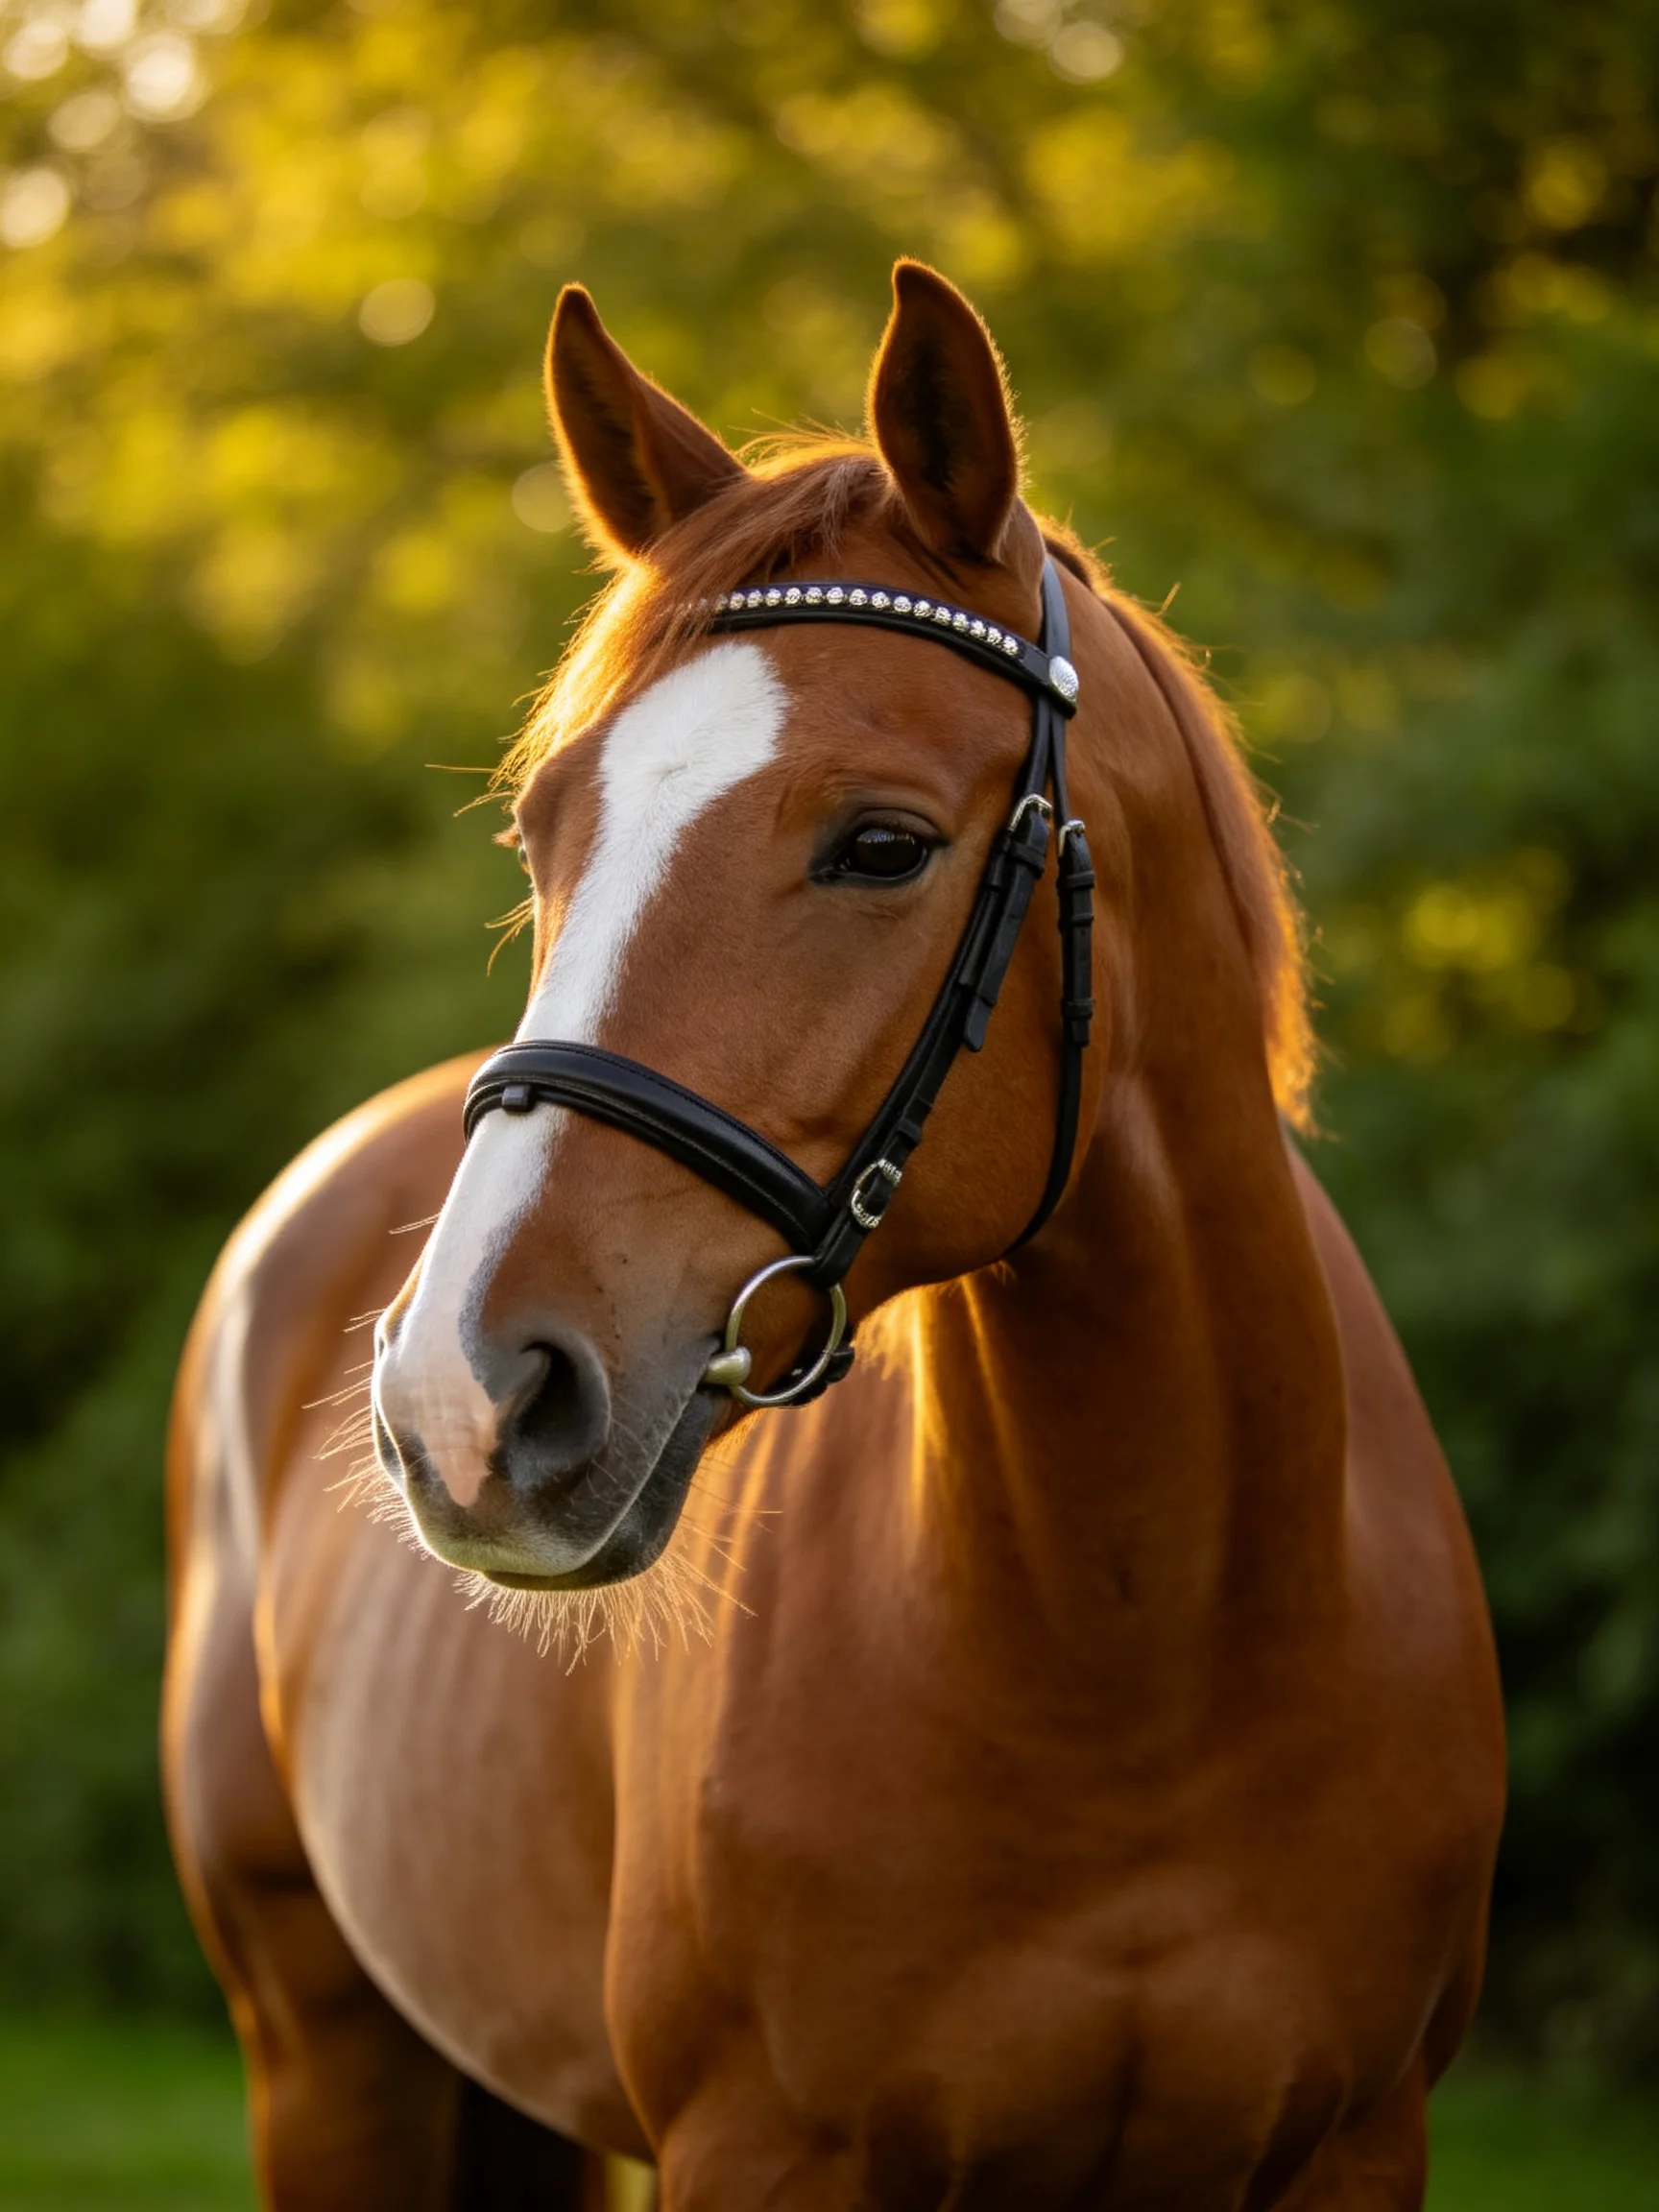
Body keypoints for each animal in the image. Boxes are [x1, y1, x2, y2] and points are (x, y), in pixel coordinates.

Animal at [163, 260, 1505, 2211]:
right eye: (541, 827)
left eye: (881, 844)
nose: (460, 1405)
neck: (1147, 1661)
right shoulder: (762, 2151)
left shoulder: (1354, 2143)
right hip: (324, 2054)